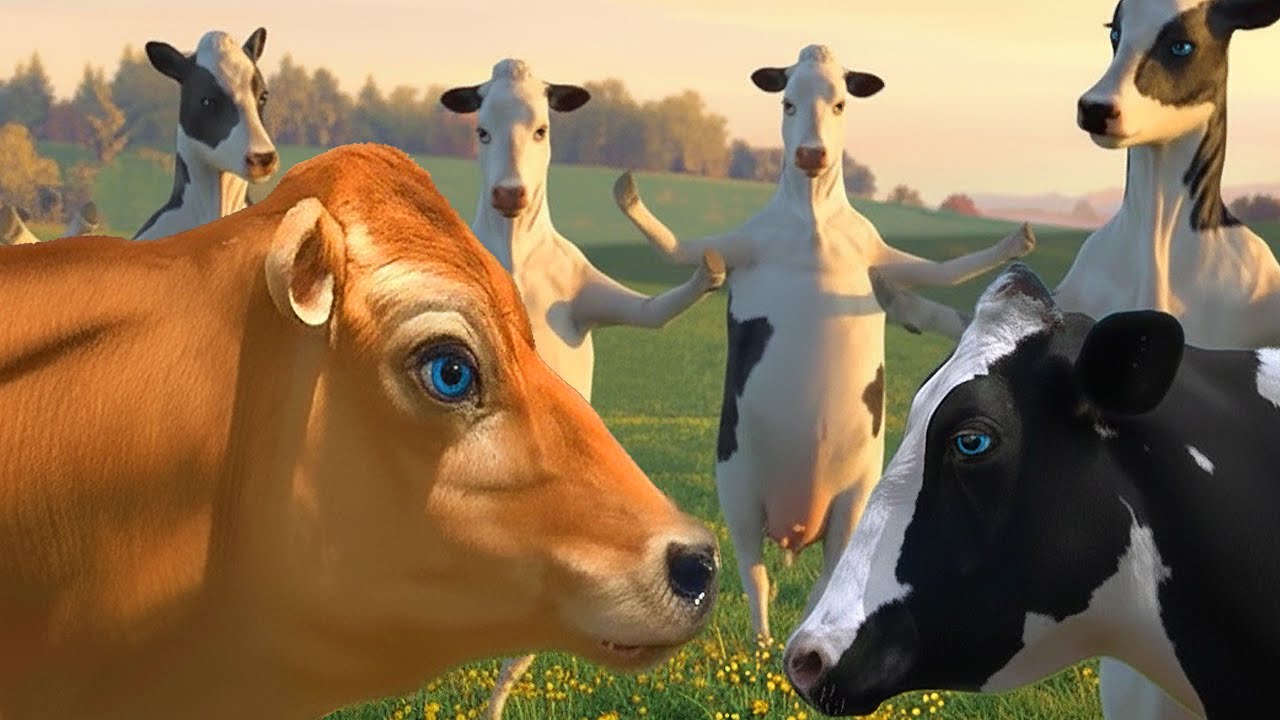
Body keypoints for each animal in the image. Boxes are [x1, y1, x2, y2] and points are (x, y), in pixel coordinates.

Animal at [440, 58, 725, 720]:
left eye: (542, 129)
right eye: (481, 131)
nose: (509, 194)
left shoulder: (589, 294)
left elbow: (652, 310)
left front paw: (710, 270)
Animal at [612, 44, 1036, 646]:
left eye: (840, 103)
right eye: (787, 102)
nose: (811, 154)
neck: (811, 221)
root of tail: (797, 523)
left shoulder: (879, 257)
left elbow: (943, 270)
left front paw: (1015, 239)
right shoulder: (739, 245)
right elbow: (676, 245)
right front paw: (628, 194)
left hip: (855, 492)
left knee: (827, 574)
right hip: (737, 486)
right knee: (755, 572)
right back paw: (763, 642)